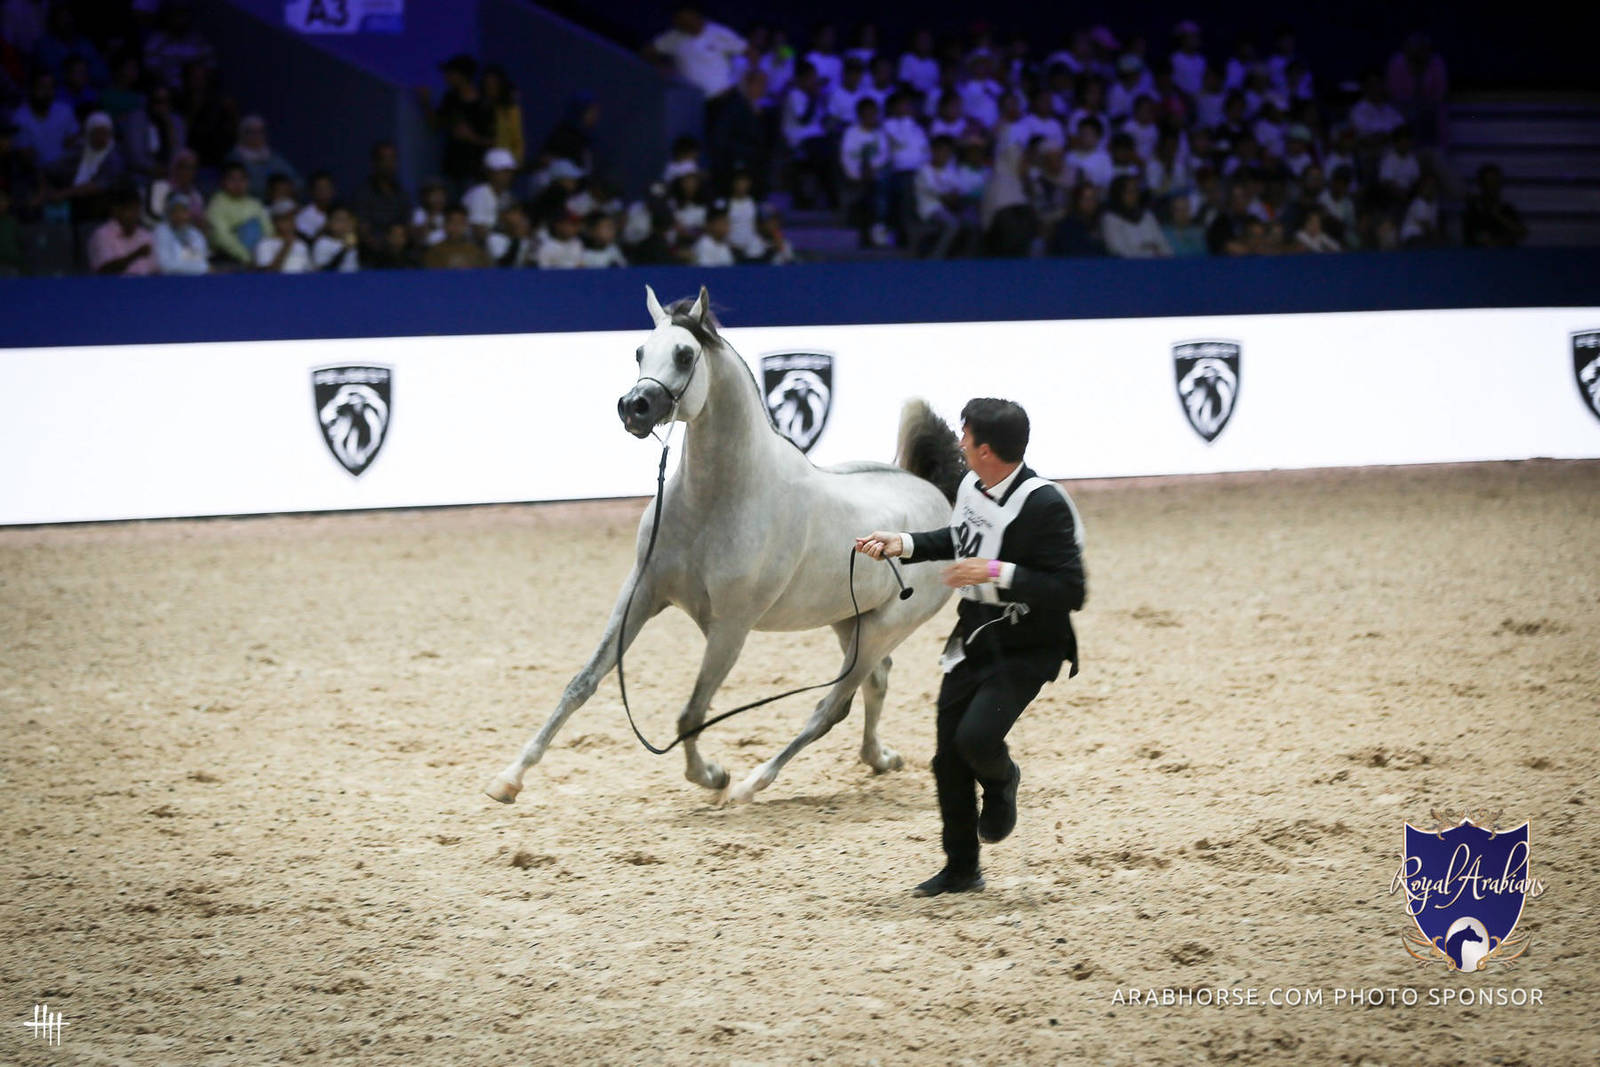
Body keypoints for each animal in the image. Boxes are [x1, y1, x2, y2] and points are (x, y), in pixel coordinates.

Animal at [485, 285, 965, 806]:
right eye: (639, 352)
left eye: (684, 354)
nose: (634, 407)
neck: (713, 504)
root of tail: (940, 501)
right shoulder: (641, 592)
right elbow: (582, 683)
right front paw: (507, 780)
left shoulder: (730, 628)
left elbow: (691, 714)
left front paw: (713, 777)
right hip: (850, 622)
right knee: (876, 681)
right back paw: (879, 758)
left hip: (883, 629)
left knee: (829, 708)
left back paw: (752, 784)